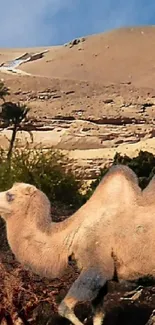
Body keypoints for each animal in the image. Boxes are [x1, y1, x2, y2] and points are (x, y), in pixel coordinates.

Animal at [0, 165, 154, 324]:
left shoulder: (96, 268)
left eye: (10, 196)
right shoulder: (101, 280)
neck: (71, 236)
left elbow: (64, 308)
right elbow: (98, 314)